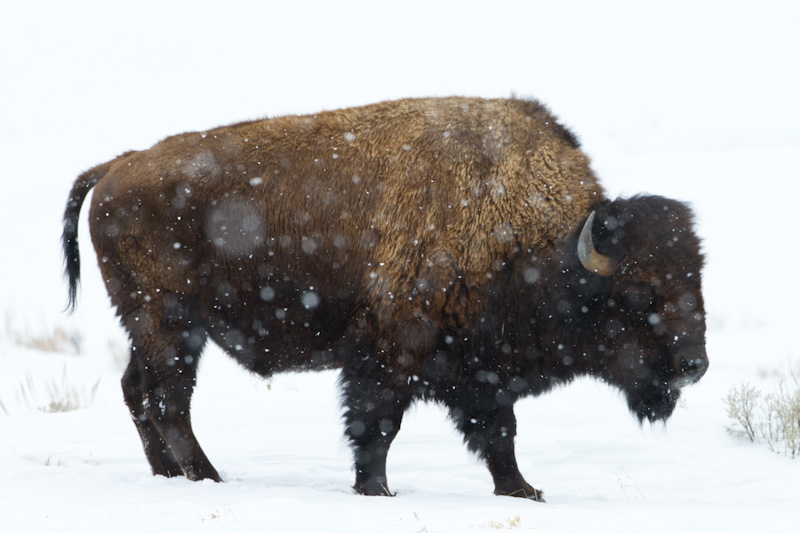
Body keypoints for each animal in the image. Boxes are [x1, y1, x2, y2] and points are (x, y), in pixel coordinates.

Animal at [62, 96, 708, 498]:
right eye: (639, 292)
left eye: (697, 277)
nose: (694, 365)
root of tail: (119, 165)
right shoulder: (387, 355)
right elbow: (377, 427)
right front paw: (377, 491)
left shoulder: (479, 369)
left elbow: (498, 434)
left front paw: (523, 491)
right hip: (169, 321)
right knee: (170, 399)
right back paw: (208, 478)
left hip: (150, 326)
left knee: (139, 391)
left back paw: (170, 477)